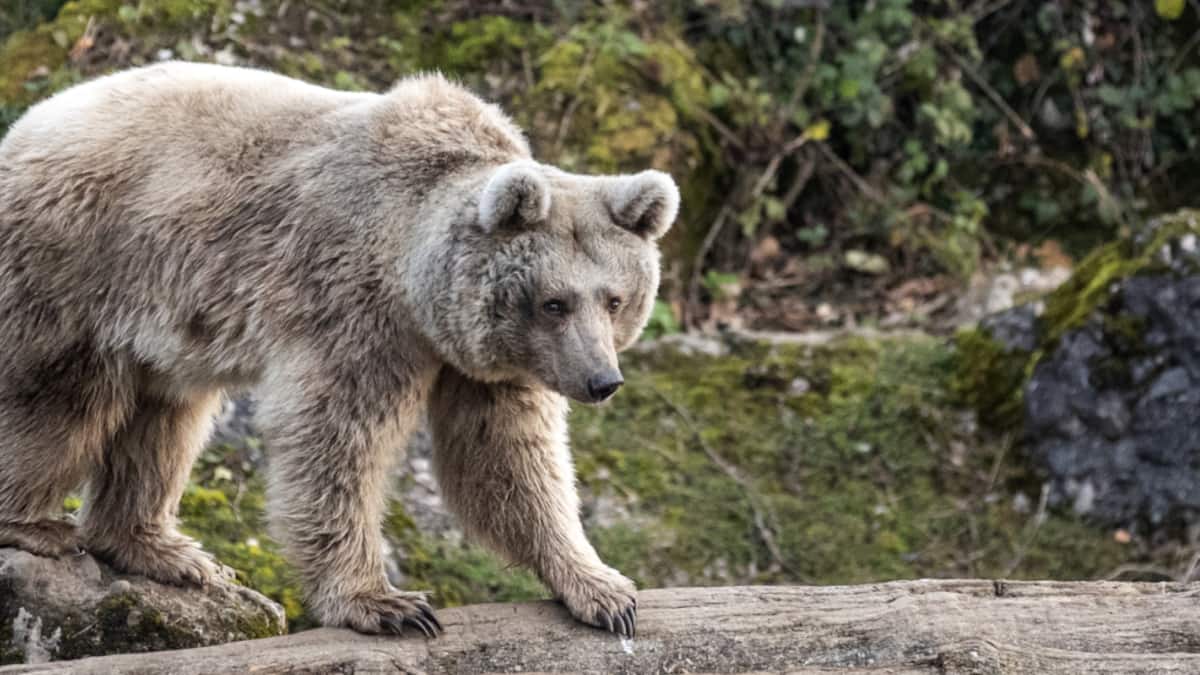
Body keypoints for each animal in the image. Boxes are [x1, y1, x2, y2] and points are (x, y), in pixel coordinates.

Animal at [0, 61, 679, 638]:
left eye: (615, 299)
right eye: (554, 302)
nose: (601, 381)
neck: (413, 274)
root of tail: (28, 121)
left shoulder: (486, 361)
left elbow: (507, 458)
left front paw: (604, 591)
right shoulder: (352, 307)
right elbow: (335, 439)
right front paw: (387, 604)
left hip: (165, 328)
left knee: (165, 419)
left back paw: (165, 551)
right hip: (79, 265)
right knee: (61, 401)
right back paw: (36, 525)